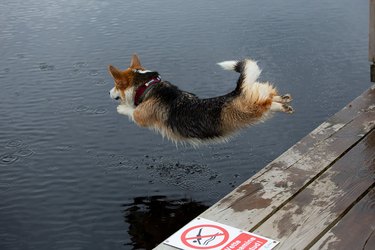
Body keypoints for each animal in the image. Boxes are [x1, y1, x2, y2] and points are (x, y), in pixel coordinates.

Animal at [108, 53, 294, 146]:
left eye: (116, 85)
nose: (109, 93)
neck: (147, 85)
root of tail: (238, 91)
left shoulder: (141, 116)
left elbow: (133, 111)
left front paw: (121, 108)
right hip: (256, 90)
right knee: (270, 93)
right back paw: (285, 100)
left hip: (251, 108)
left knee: (267, 104)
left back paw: (281, 105)